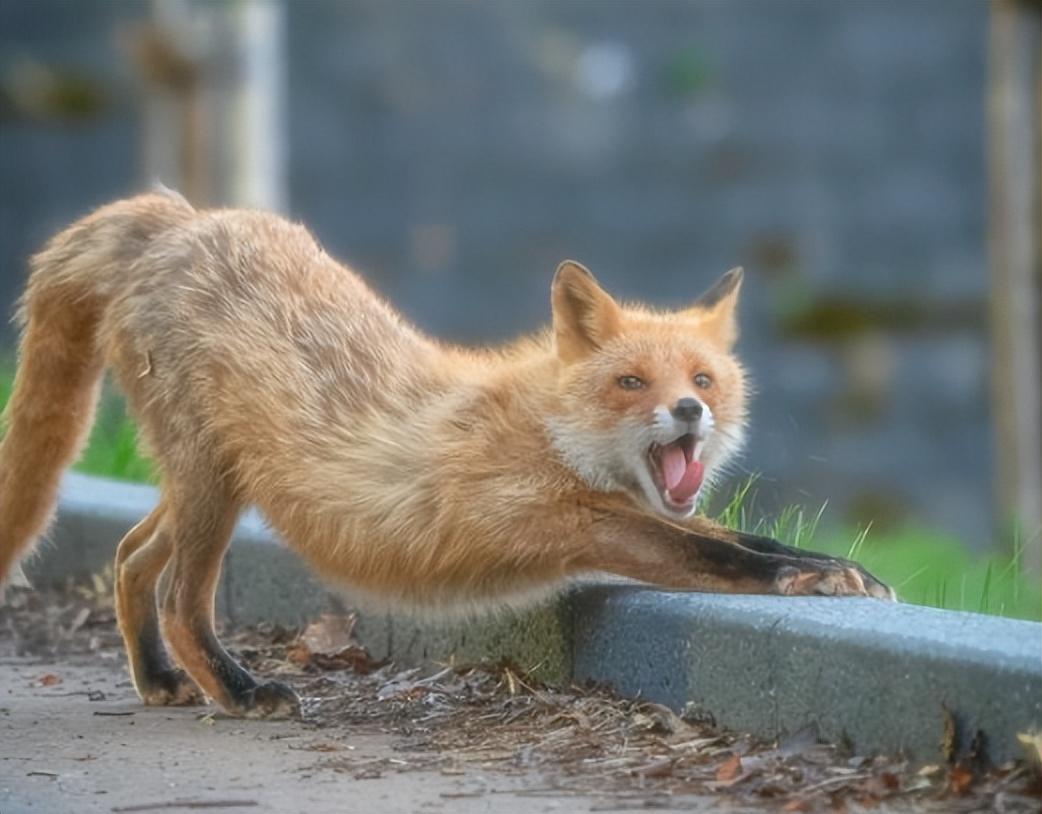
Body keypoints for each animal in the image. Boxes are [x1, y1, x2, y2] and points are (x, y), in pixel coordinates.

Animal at [0, 190, 896, 717]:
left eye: (703, 378)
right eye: (631, 382)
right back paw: (238, 689)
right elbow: (723, 557)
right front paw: (810, 579)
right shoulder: (569, 521)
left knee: (128, 555)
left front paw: (841, 571)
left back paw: (157, 680)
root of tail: (179, 215)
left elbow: (741, 538)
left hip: (211, 479)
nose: (689, 411)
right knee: (182, 601)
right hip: (212, 489)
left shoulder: (615, 508)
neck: (546, 429)